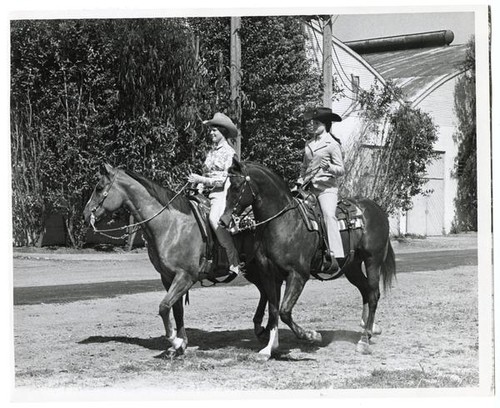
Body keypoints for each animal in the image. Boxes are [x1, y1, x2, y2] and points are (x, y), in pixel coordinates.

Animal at [221, 158, 396, 356]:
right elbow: (273, 309)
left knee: (373, 294)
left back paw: (364, 339)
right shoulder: (269, 275)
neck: (283, 222)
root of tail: (376, 209)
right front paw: (269, 348)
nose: (223, 221)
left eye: (236, 186)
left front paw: (311, 335)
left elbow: (284, 311)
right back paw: (369, 329)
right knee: (366, 291)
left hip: (373, 261)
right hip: (352, 267)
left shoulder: (298, 275)